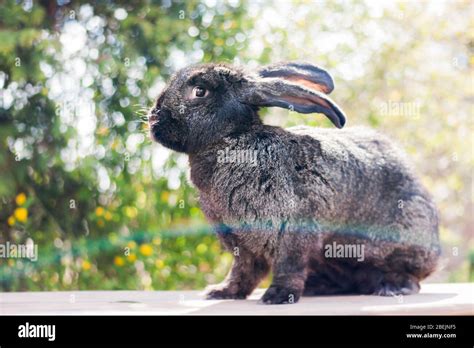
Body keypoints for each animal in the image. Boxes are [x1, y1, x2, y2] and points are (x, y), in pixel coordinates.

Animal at [148, 62, 440, 304]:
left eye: (200, 91)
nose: (153, 118)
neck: (233, 141)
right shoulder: (242, 244)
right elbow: (243, 272)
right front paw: (221, 292)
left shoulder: (294, 231)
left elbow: (288, 267)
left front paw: (277, 296)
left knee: (409, 276)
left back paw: (392, 287)